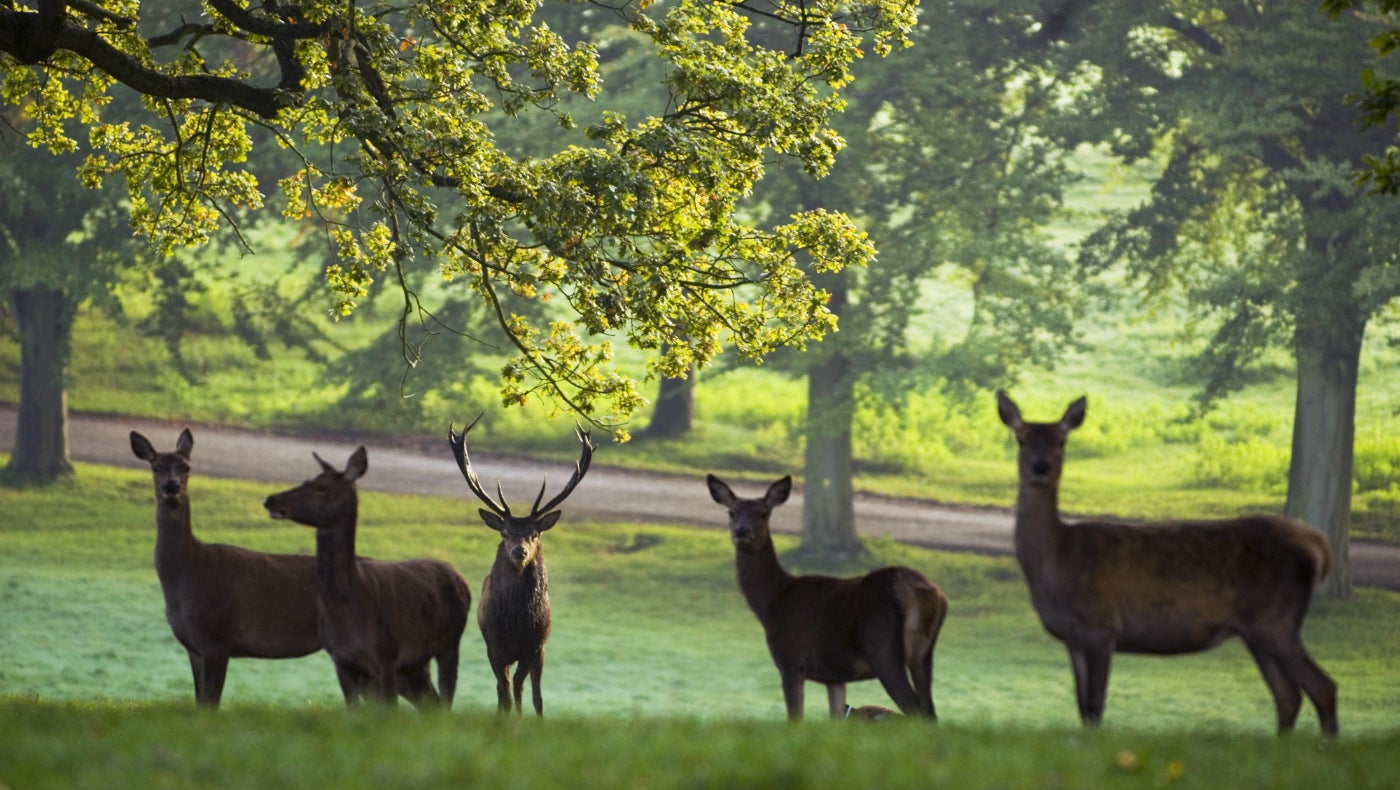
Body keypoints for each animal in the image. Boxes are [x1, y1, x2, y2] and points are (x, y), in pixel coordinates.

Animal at [129, 428, 322, 708]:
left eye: (186, 466)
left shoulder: (218, 637)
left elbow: (212, 703)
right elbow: (200, 702)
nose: (171, 486)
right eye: (155, 467)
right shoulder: (193, 647)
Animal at [263, 446, 471, 708]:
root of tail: (462, 580)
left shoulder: (386, 655)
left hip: (450, 642)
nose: (271, 500)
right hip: (417, 663)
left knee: (445, 699)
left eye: (322, 487)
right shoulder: (340, 660)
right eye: (306, 481)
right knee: (430, 702)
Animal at [448, 415, 594, 717]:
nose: (519, 550)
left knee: (518, 686)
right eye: (505, 533)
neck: (517, 624)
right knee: (503, 688)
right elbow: (504, 691)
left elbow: (535, 696)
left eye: (535, 533)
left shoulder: (537, 647)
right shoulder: (495, 647)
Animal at [706, 474, 949, 722]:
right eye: (731, 512)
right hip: (923, 655)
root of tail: (930, 593)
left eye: (763, 513)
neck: (772, 602)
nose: (741, 531)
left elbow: (795, 719)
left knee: (917, 712)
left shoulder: (791, 660)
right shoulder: (834, 677)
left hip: (884, 650)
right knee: (930, 712)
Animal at [996, 391, 1339, 736]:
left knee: (1322, 686)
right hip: (1259, 631)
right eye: (1020, 438)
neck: (1058, 560)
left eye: (1062, 440)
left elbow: (1096, 704)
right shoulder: (1073, 638)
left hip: (1277, 620)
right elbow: (1083, 708)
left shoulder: (1101, 626)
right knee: (1288, 695)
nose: (1041, 467)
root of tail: (1318, 545)